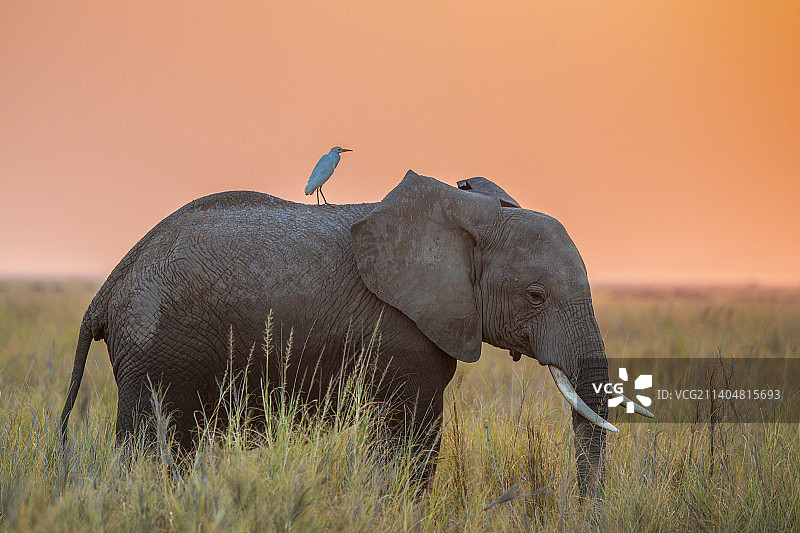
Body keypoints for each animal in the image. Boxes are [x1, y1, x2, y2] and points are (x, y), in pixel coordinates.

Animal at [60, 170, 648, 494]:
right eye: (536, 296)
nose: (582, 510)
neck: (464, 214)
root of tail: (107, 289)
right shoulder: (402, 332)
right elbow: (414, 443)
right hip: (156, 349)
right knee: (150, 446)